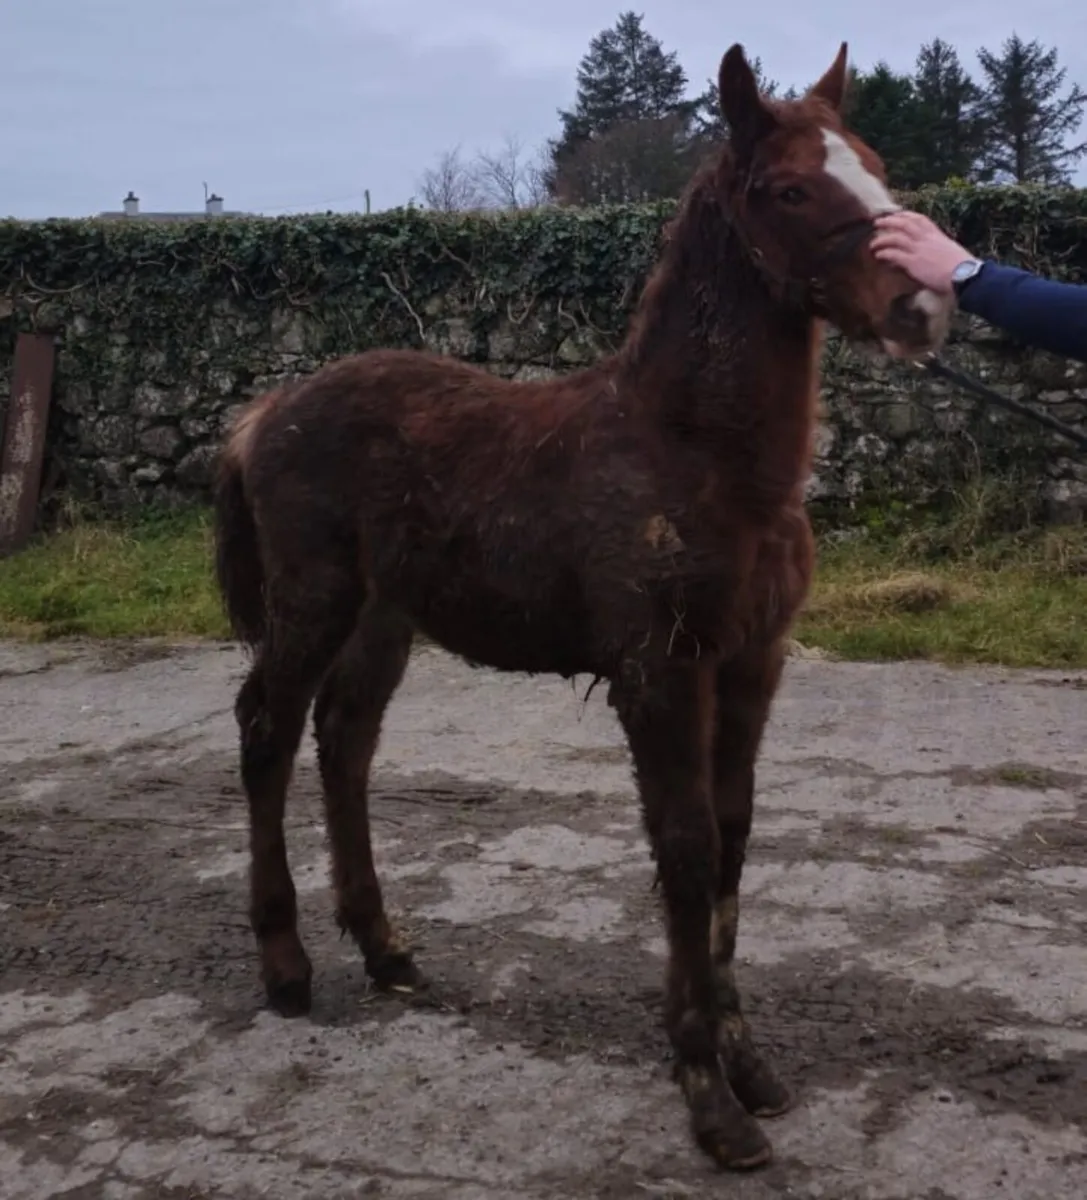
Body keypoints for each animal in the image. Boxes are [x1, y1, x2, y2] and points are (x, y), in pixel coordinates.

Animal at [212, 41, 953, 1171]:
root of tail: (265, 411)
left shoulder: (753, 662)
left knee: (345, 741)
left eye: (871, 165)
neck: (695, 453)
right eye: (787, 189)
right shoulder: (660, 673)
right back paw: (287, 966)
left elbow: (732, 840)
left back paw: (384, 947)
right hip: (314, 598)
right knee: (267, 729)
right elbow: (685, 850)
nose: (922, 310)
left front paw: (747, 1063)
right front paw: (707, 1095)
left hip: (387, 617)